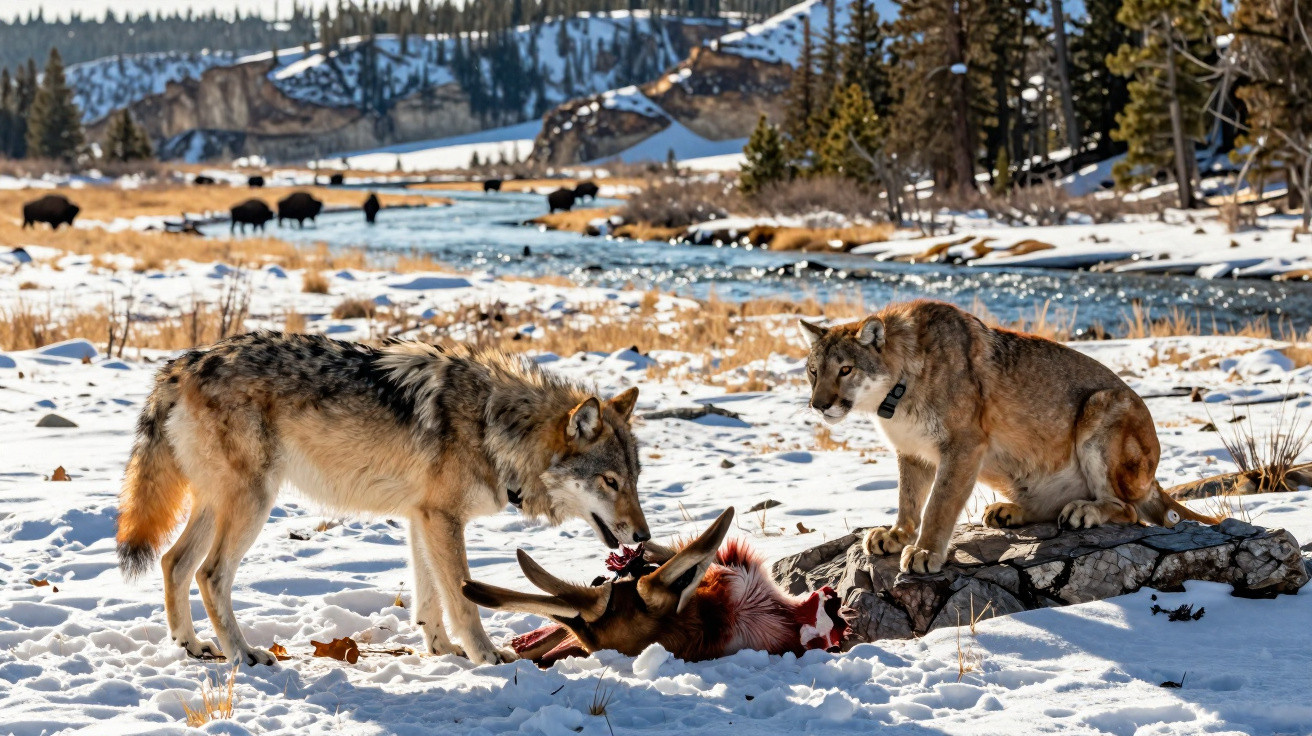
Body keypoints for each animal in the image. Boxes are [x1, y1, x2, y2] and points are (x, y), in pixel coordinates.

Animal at [116, 332, 648, 666]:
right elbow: (463, 600)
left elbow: (430, 599)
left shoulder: (422, 518)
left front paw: (442, 651)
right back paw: (242, 654)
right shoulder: (442, 518)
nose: (644, 537)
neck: (494, 426)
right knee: (209, 574)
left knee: (173, 562)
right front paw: (486, 655)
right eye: (610, 482)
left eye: (635, 479)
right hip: (252, 504)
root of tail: (181, 364)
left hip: (218, 505)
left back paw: (191, 646)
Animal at [801, 300, 1220, 575]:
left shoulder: (963, 446)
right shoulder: (913, 451)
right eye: (812, 370)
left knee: (1129, 511)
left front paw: (924, 552)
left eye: (845, 369)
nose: (819, 405)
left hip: (1102, 406)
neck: (894, 396)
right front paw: (897, 534)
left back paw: (1083, 511)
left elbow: (938, 504)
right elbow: (908, 498)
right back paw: (1010, 512)